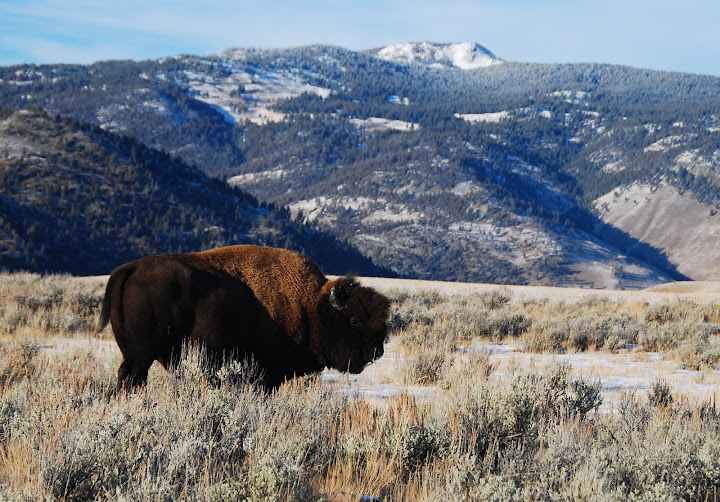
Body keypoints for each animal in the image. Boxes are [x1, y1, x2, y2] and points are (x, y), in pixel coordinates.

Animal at [97, 245, 391, 390]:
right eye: (354, 320)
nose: (377, 351)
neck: (311, 307)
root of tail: (131, 268)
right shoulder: (268, 374)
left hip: (134, 353)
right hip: (141, 356)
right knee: (133, 378)